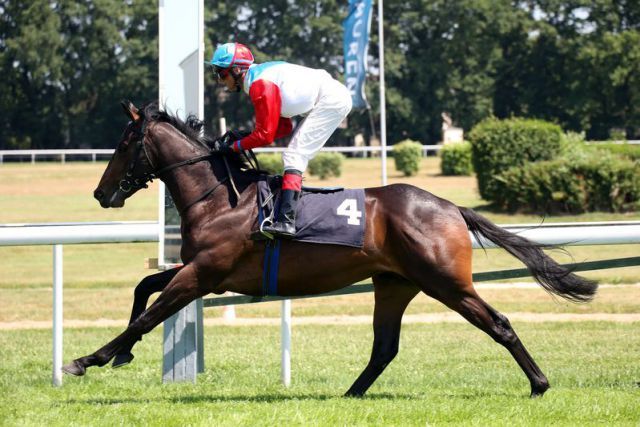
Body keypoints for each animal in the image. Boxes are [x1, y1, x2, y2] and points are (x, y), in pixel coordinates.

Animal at [62, 100, 596, 398]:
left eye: (124, 144)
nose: (101, 194)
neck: (219, 197)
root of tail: (450, 207)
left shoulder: (204, 274)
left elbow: (148, 315)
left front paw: (88, 359)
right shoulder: (201, 270)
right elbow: (144, 286)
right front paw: (120, 356)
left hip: (445, 282)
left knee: (499, 324)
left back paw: (539, 385)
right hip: (395, 284)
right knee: (384, 347)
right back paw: (350, 395)